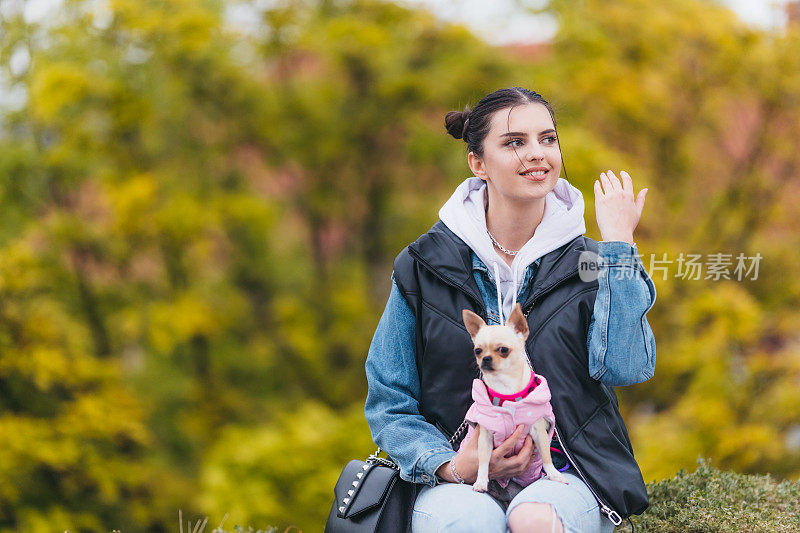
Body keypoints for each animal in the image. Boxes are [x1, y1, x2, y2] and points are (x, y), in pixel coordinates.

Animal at [460, 304, 564, 490]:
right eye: (477, 351)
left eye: (503, 350)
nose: (485, 358)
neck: (506, 387)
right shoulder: (485, 437)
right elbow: (483, 461)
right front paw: (481, 481)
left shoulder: (539, 431)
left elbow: (546, 455)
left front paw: (554, 474)